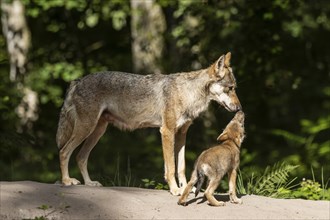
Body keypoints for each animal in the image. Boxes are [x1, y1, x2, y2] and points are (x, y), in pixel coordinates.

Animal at [56, 52, 242, 195]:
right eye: (230, 88)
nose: (240, 108)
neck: (188, 93)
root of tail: (77, 80)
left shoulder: (181, 134)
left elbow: (181, 167)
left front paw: (184, 188)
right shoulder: (167, 132)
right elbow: (171, 167)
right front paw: (175, 190)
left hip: (97, 131)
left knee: (80, 157)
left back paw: (89, 183)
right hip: (86, 129)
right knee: (64, 151)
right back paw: (66, 181)